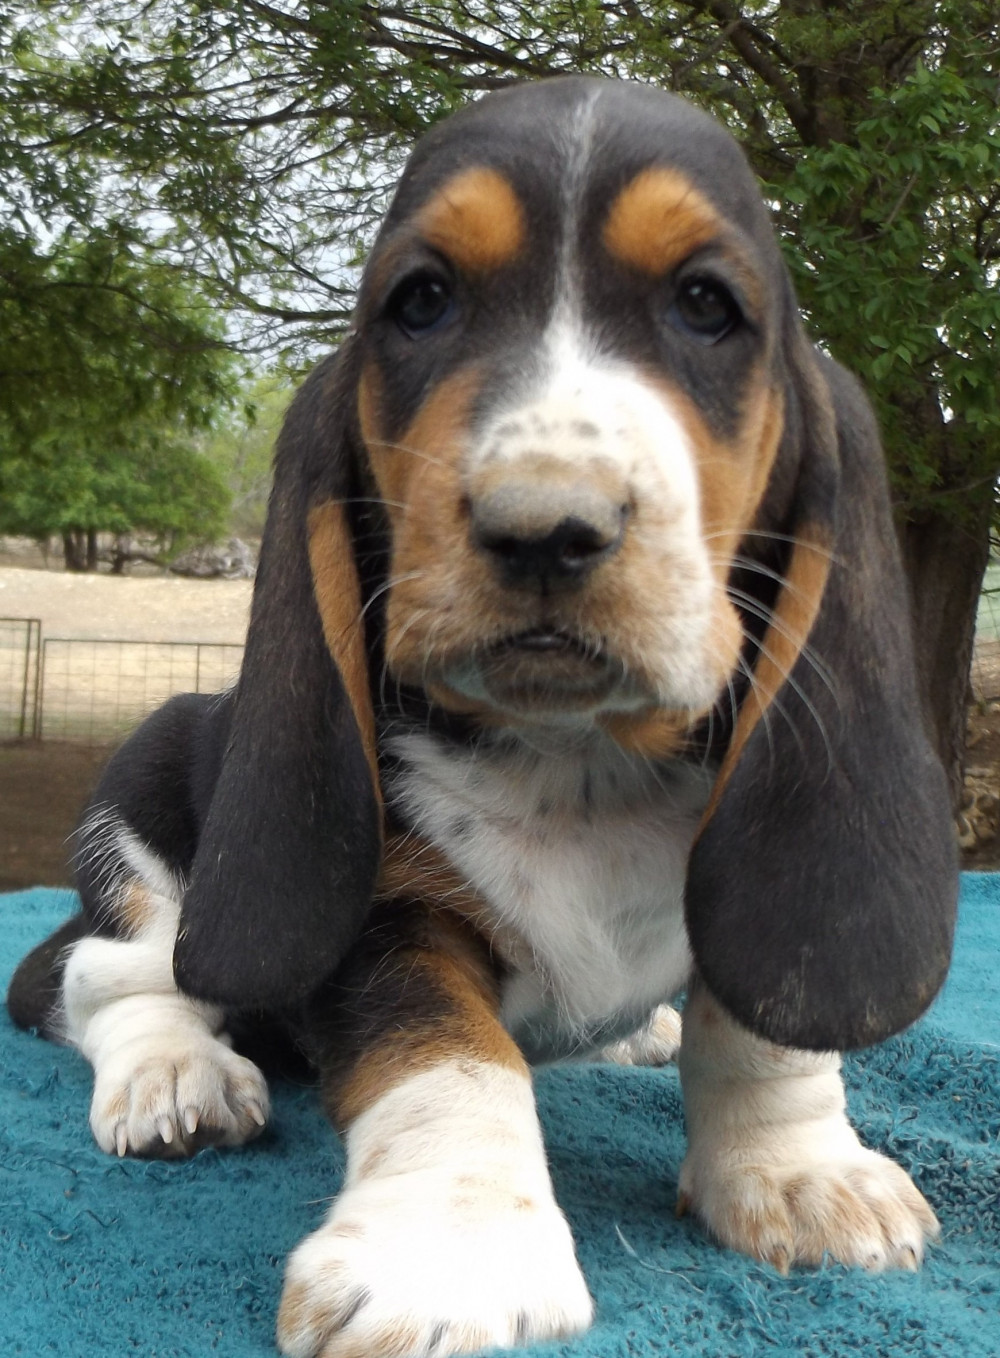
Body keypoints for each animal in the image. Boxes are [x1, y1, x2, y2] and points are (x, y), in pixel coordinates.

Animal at [9, 74, 961, 1358]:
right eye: (422, 302)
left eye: (705, 305)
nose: (545, 527)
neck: (578, 762)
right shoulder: (387, 915)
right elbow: (448, 1056)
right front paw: (449, 1254)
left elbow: (760, 1020)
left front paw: (800, 1168)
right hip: (143, 793)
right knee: (99, 970)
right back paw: (176, 1076)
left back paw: (635, 1032)